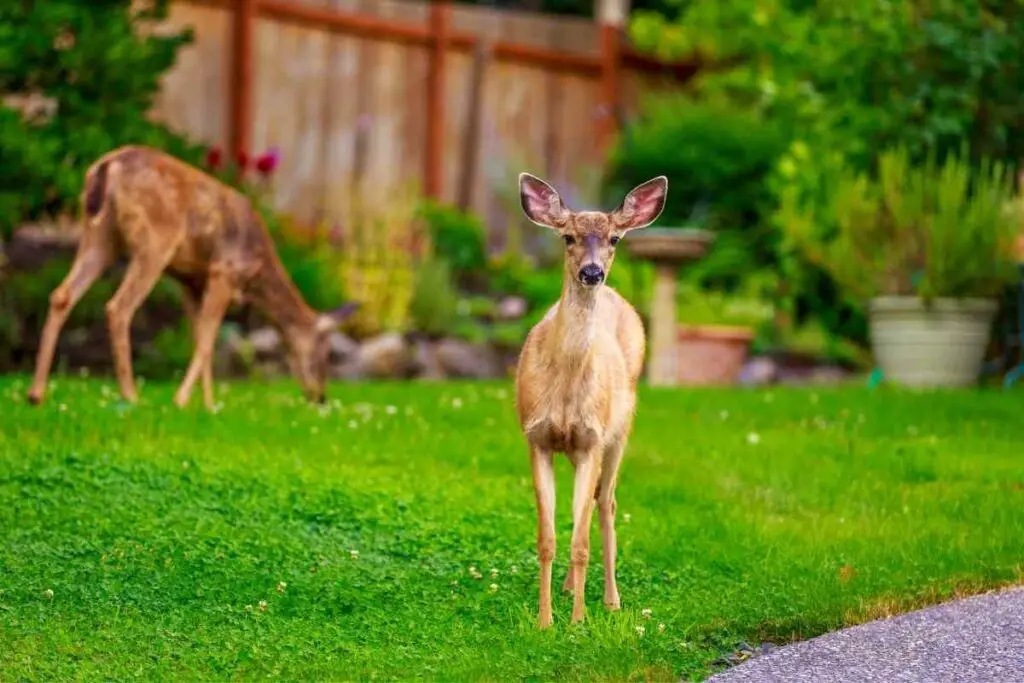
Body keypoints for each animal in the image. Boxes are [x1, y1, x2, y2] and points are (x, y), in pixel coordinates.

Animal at [25, 144, 358, 409]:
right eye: (325, 353)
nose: (320, 397)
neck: (256, 272)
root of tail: (108, 167)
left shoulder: (190, 281)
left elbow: (199, 336)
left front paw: (208, 405)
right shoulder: (223, 272)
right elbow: (208, 339)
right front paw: (183, 400)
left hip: (99, 234)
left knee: (61, 294)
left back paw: (36, 393)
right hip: (155, 241)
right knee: (119, 307)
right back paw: (131, 395)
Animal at [516, 172, 667, 630]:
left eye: (615, 238)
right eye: (567, 237)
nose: (592, 271)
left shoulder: (593, 439)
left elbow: (581, 541)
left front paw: (578, 621)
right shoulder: (537, 437)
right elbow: (547, 537)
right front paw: (545, 620)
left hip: (619, 430)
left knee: (607, 502)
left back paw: (611, 599)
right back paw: (569, 589)